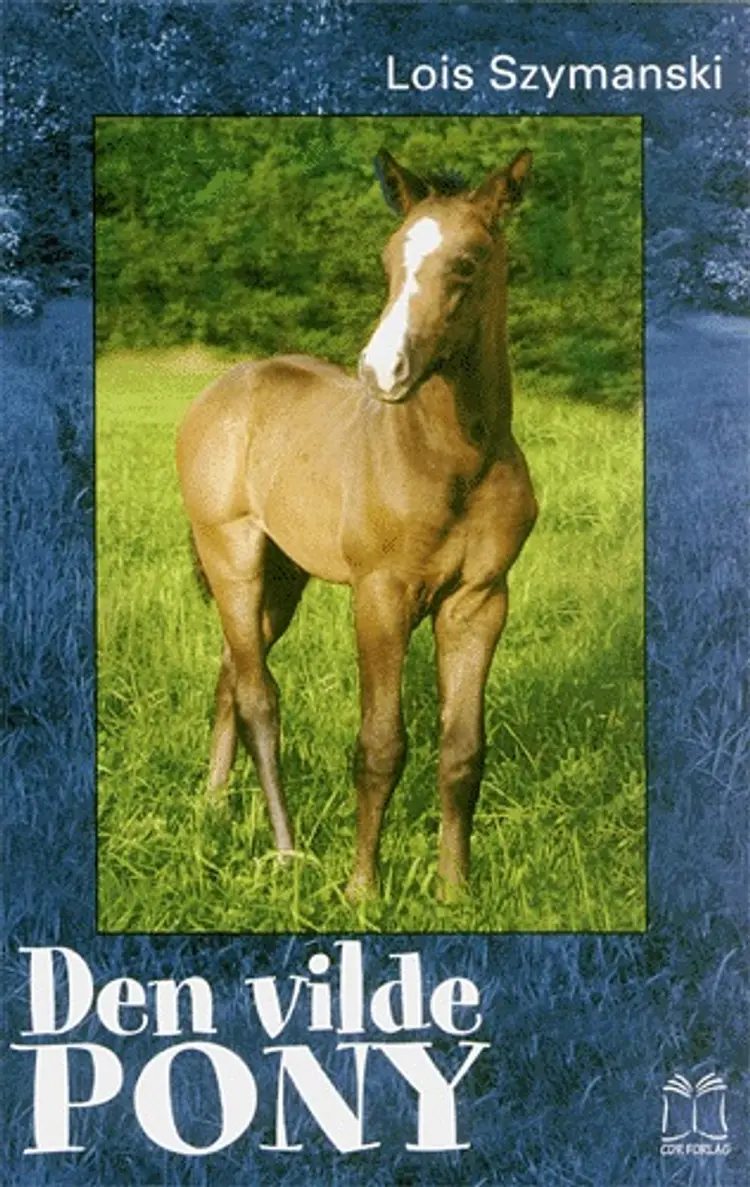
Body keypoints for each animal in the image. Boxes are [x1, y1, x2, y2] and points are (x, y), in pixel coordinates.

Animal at [176, 147, 537, 900]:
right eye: (388, 259)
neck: (452, 462)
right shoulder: (381, 595)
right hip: (231, 555)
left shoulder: (480, 600)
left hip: (282, 578)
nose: (381, 370)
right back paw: (286, 853)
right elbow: (380, 744)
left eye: (467, 262)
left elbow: (462, 750)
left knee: (230, 675)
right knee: (258, 695)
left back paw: (214, 806)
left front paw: (454, 889)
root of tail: (223, 387)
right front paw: (362, 889)